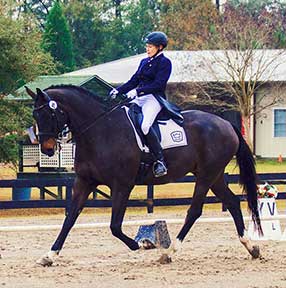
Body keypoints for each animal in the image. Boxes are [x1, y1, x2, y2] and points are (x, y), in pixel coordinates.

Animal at [25, 84, 262, 266]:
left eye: (49, 114)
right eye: (35, 115)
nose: (47, 149)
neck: (100, 130)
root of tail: (226, 123)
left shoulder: (122, 185)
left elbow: (115, 226)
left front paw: (140, 244)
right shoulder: (84, 182)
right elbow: (70, 218)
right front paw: (49, 255)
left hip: (206, 175)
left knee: (194, 211)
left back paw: (169, 252)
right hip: (214, 175)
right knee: (232, 202)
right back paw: (251, 247)